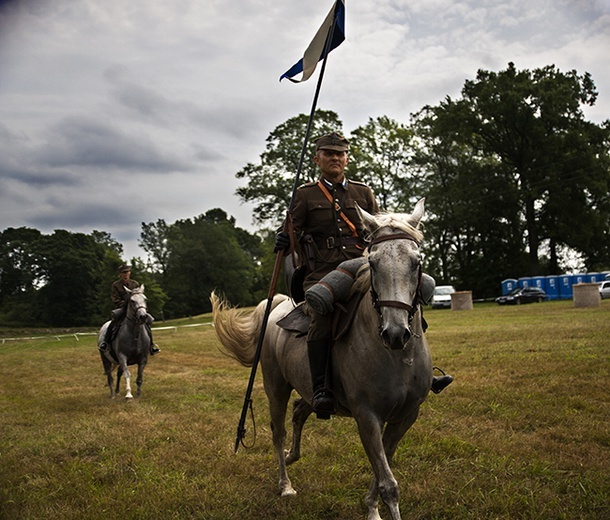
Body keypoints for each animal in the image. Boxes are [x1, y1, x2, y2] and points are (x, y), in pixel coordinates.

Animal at [213, 200, 432, 520]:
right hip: (275, 387)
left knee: (300, 411)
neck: (397, 358)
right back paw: (285, 483)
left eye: (416, 262)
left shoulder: (406, 417)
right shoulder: (367, 417)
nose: (395, 333)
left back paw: (293, 455)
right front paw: (375, 509)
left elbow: (382, 469)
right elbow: (388, 483)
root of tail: (277, 306)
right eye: (373, 262)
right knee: (278, 431)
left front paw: (370, 506)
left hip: (313, 390)